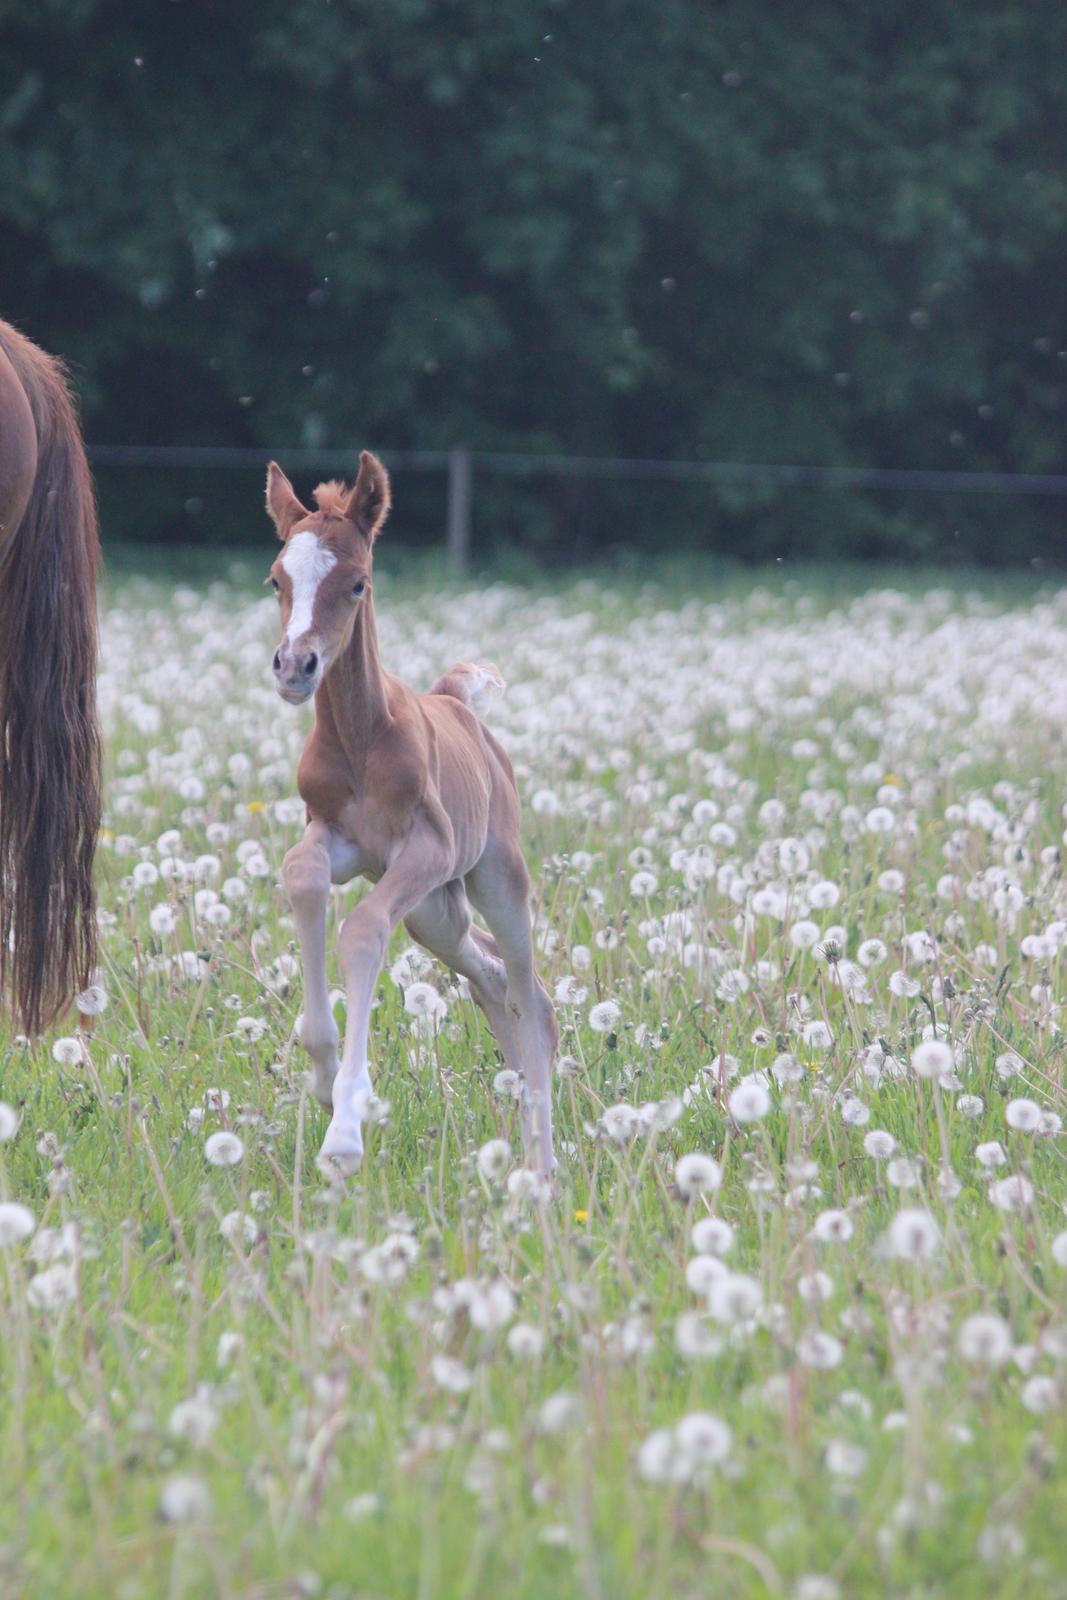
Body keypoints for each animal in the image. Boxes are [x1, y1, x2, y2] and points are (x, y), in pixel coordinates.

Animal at [265, 451, 559, 1177]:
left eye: (357, 584)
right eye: (277, 579)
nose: (295, 666)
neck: (361, 738)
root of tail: (455, 699)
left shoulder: (425, 849)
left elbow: (364, 930)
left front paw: (344, 1129)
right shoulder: (334, 838)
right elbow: (303, 880)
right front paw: (323, 1076)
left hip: (491, 877)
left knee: (529, 992)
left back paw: (542, 1164)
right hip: (435, 915)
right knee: (490, 981)